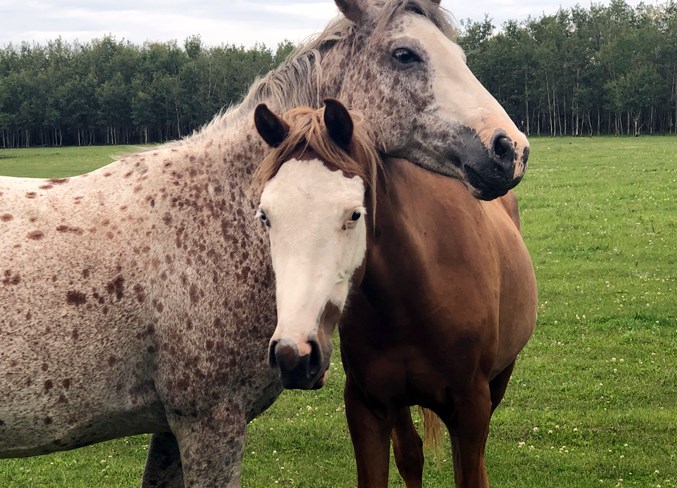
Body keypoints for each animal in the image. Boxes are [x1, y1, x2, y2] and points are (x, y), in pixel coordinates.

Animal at [251, 100, 536, 488]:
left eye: (354, 214)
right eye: (265, 216)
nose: (293, 355)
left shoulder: (470, 410)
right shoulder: (368, 409)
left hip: (499, 379)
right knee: (411, 455)